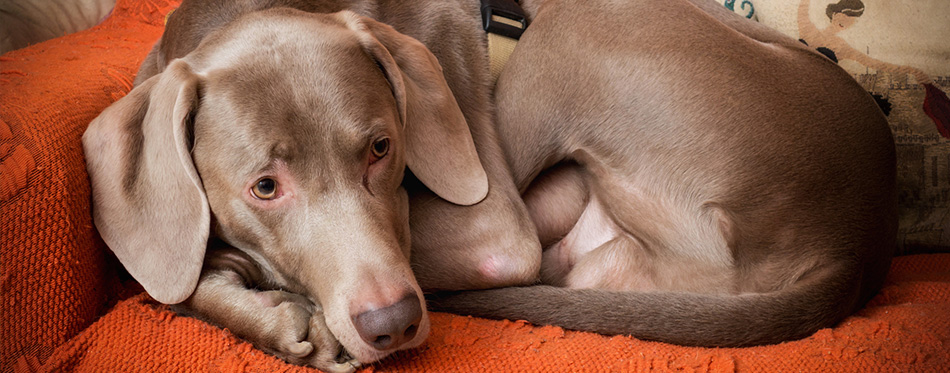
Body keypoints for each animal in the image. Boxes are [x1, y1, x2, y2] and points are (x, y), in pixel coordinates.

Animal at [80, 0, 892, 370]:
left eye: (382, 148)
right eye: (265, 187)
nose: (394, 322)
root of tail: (857, 243)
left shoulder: (487, 229)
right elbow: (176, 276)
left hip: (585, 27)